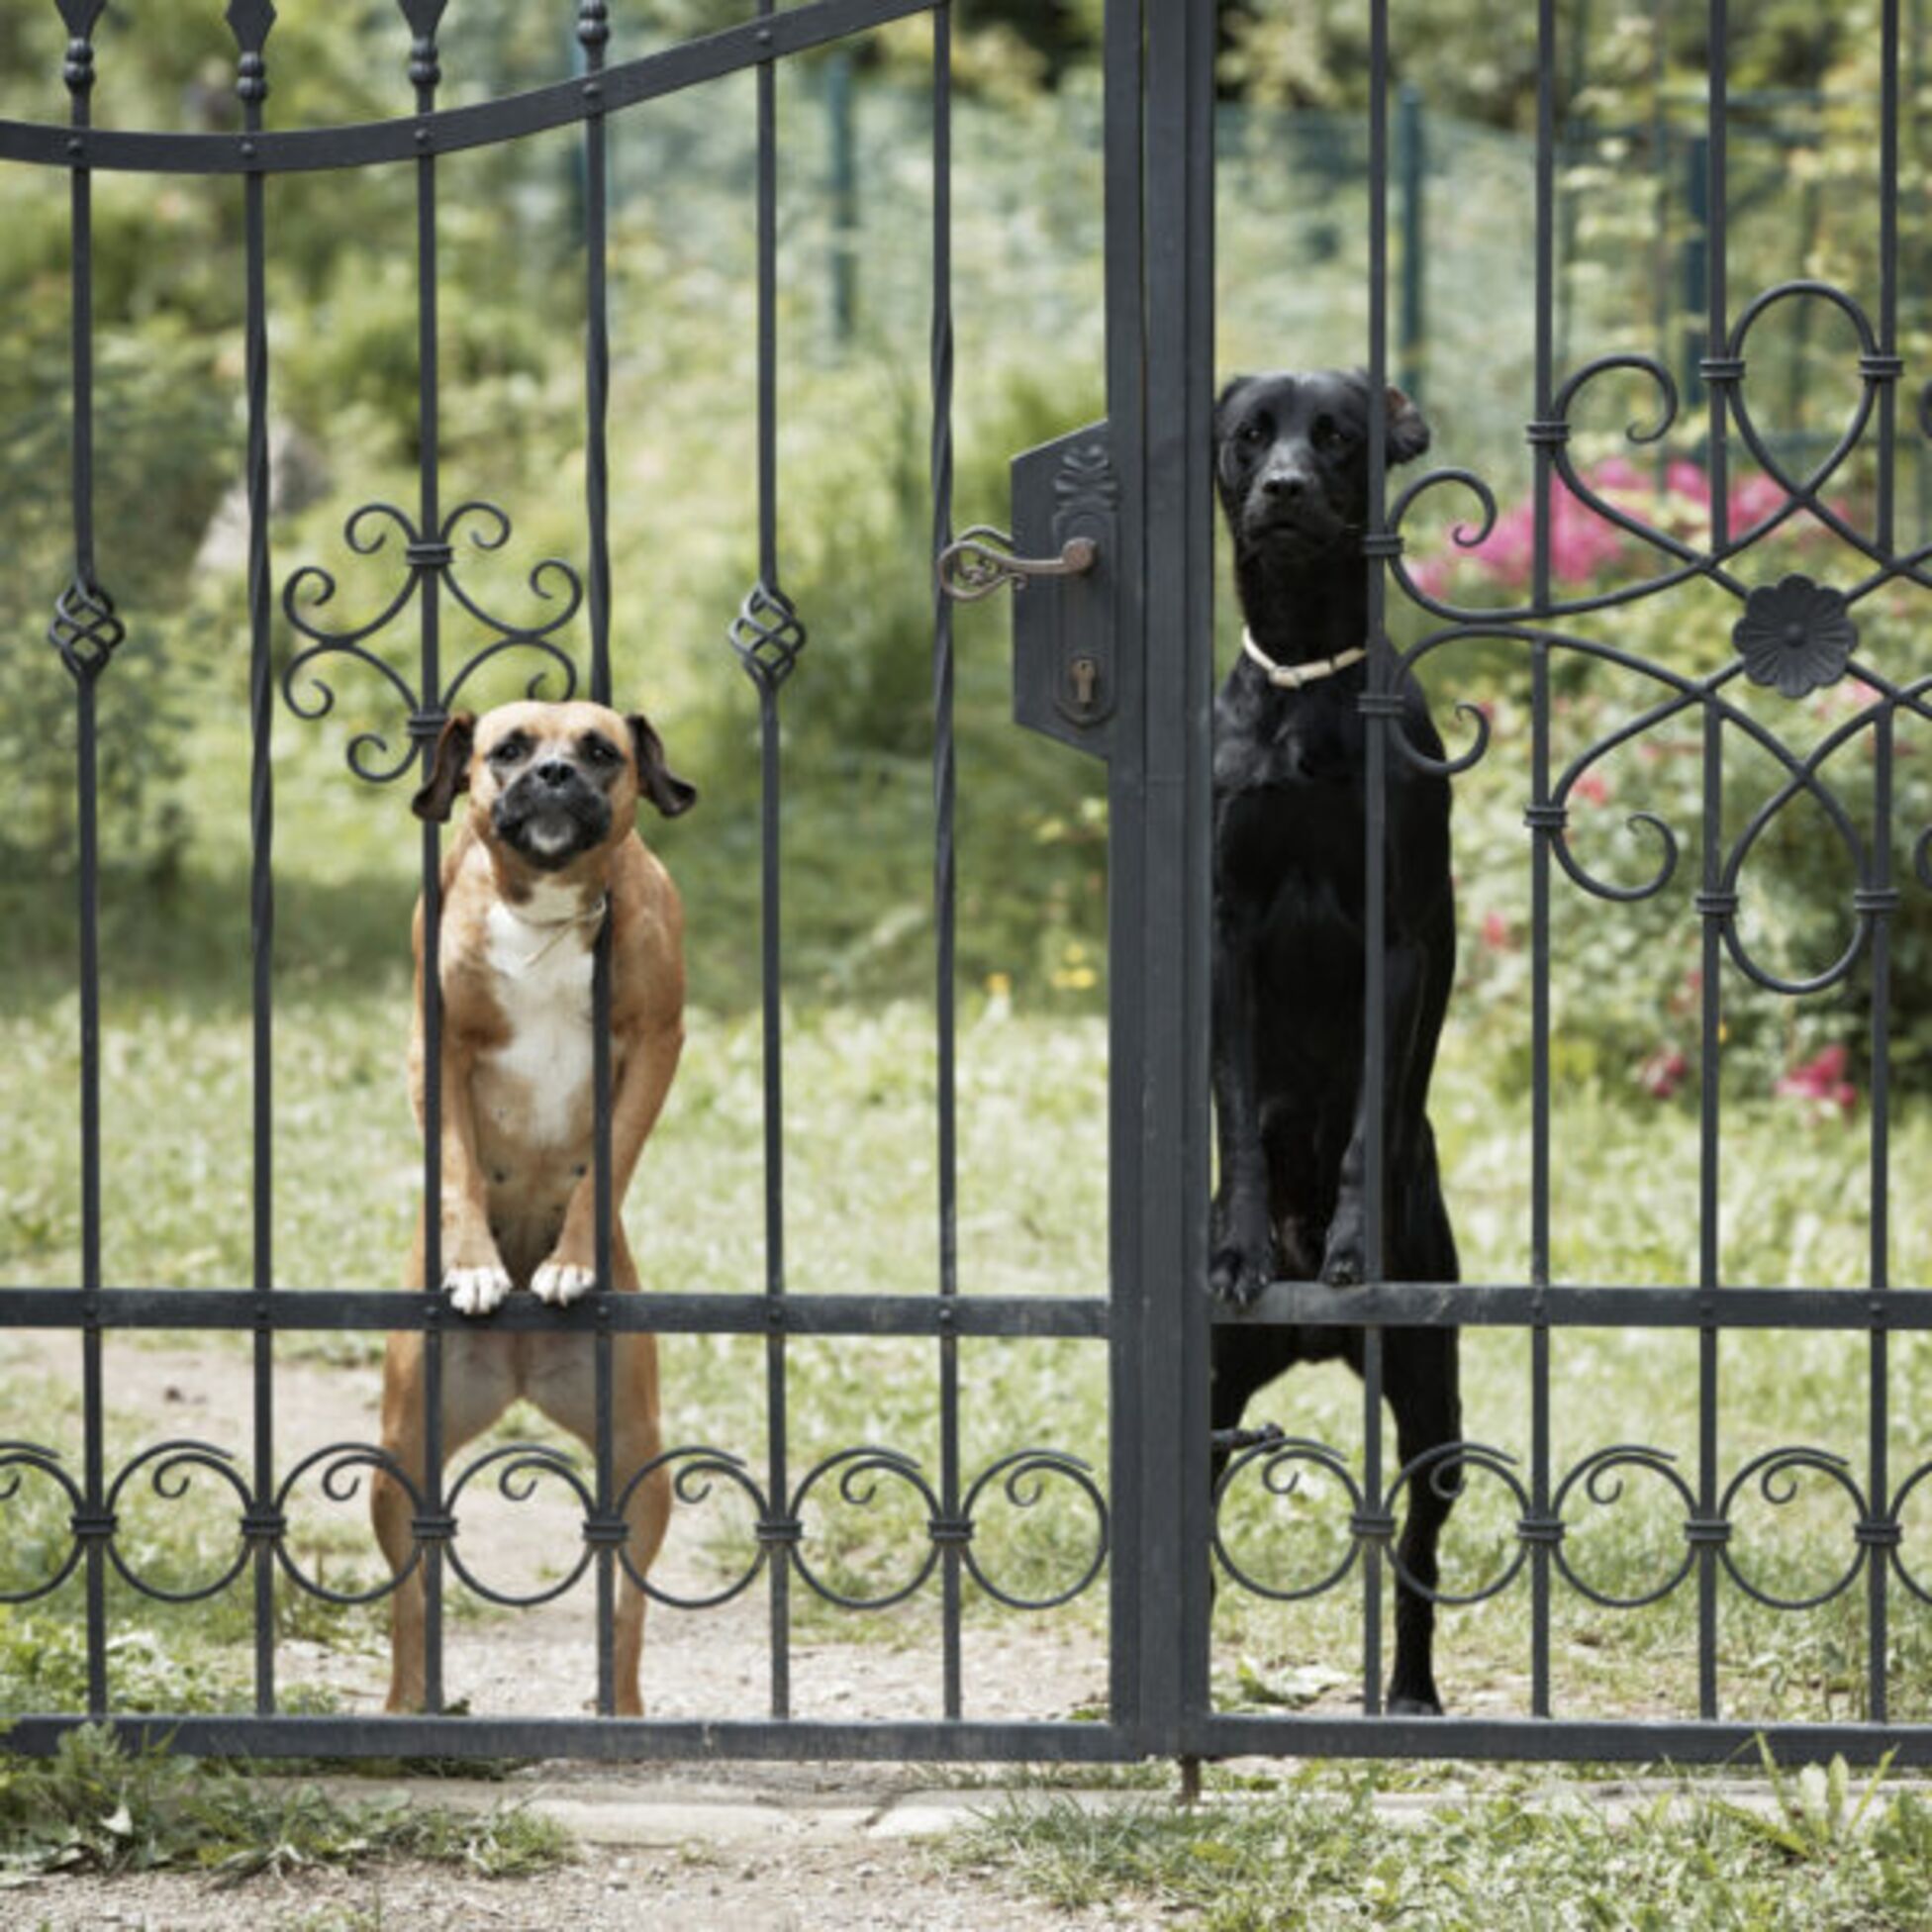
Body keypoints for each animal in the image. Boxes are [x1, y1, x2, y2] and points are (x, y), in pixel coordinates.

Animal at [368, 691, 695, 1707]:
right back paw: (410, 1708)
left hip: (638, 1466)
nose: (553, 775)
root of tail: (516, 1366)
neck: (545, 911)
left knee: (624, 1616)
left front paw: (571, 1262)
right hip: (399, 1466)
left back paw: (619, 1710)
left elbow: (603, 1171)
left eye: (600, 751)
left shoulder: (654, 1044)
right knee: (411, 1608)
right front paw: (474, 1266)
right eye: (508, 749)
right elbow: (461, 1173)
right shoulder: (434, 1049)